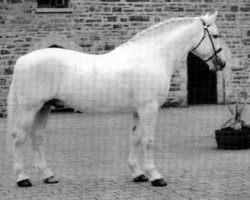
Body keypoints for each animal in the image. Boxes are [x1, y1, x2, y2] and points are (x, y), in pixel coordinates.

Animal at [6, 11, 226, 188]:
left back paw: (48, 175)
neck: (151, 57)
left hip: (44, 107)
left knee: (37, 137)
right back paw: (23, 179)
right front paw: (155, 176)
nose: (221, 64)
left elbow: (135, 138)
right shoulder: (149, 108)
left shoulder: (138, 110)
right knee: (20, 138)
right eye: (215, 35)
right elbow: (148, 140)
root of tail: (22, 59)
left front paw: (138, 174)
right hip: (30, 107)